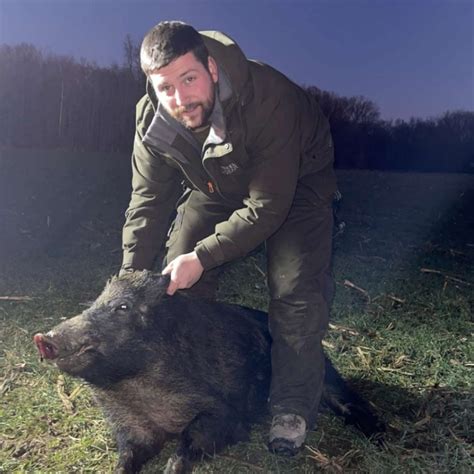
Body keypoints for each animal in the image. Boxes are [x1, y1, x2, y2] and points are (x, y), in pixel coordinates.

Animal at [34, 270, 383, 473]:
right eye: (95, 302)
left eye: (122, 307)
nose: (44, 338)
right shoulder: (131, 425)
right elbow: (126, 458)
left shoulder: (224, 412)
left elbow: (191, 440)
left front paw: (171, 467)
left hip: (325, 374)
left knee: (351, 401)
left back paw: (379, 439)